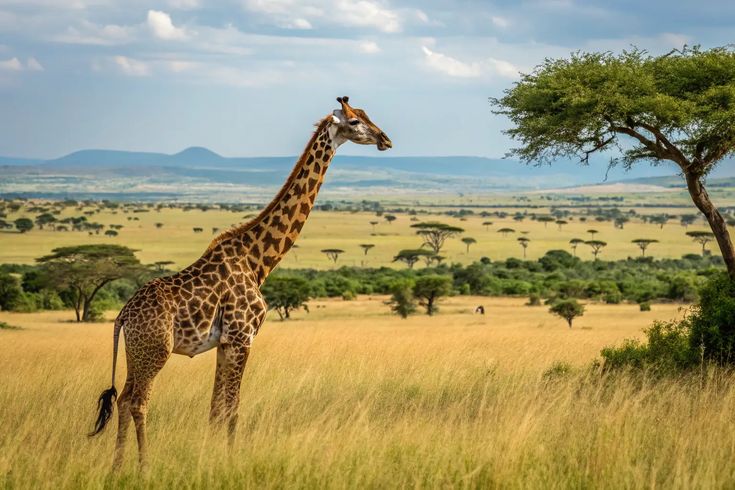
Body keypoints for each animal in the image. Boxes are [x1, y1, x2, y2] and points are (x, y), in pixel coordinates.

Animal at [89, 96, 392, 470]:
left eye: (365, 115)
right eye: (354, 122)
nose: (385, 139)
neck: (257, 261)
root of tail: (122, 317)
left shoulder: (224, 343)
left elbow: (215, 409)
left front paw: (209, 457)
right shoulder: (241, 337)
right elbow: (232, 409)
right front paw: (231, 461)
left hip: (137, 352)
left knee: (123, 398)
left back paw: (117, 466)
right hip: (155, 350)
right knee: (138, 401)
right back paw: (144, 467)